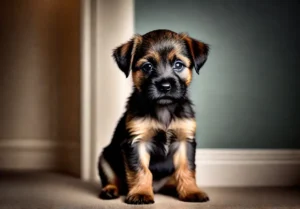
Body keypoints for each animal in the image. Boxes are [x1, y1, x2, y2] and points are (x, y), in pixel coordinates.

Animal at [98, 29, 209, 204]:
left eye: (178, 65)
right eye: (147, 66)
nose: (165, 86)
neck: (163, 109)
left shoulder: (185, 142)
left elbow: (187, 168)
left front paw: (191, 191)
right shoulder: (136, 143)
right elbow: (140, 170)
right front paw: (141, 193)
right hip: (104, 159)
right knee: (112, 179)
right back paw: (110, 190)